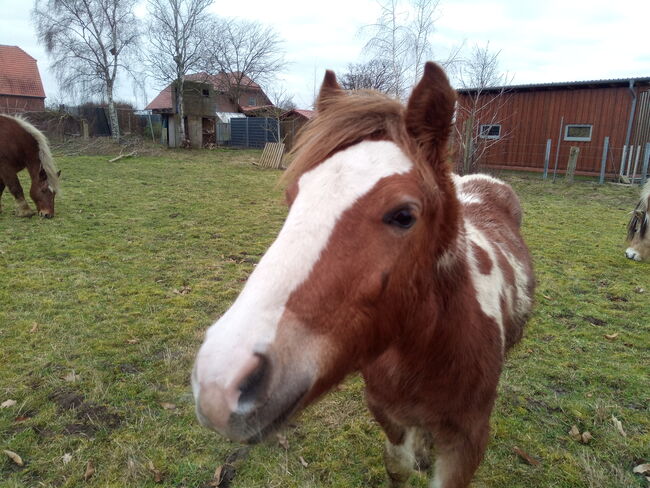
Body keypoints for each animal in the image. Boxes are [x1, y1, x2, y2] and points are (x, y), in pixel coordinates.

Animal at [190, 62, 536, 488]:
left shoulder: (466, 445)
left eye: (404, 215)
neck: (430, 348)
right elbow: (399, 465)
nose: (219, 385)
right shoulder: (387, 415)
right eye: (293, 198)